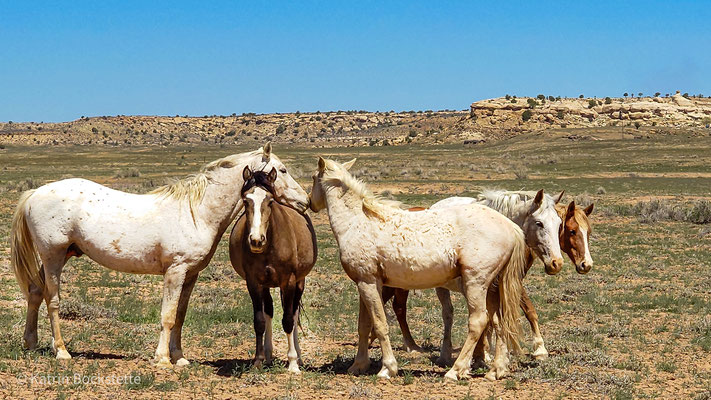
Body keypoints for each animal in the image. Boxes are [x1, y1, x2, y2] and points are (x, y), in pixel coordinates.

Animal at [8, 143, 308, 366]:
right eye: (282, 169)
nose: (305, 201)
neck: (197, 212)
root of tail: (35, 192)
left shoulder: (190, 274)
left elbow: (180, 315)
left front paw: (180, 357)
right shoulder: (174, 272)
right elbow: (167, 315)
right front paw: (162, 359)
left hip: (60, 256)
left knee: (35, 292)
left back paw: (31, 343)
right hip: (53, 256)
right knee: (52, 300)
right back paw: (61, 351)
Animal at [229, 167, 318, 374]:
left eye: (270, 201)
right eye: (245, 200)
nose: (256, 240)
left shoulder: (289, 281)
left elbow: (288, 320)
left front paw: (293, 363)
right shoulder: (253, 282)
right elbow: (260, 320)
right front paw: (258, 359)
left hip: (299, 282)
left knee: (293, 313)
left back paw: (298, 356)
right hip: (266, 285)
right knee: (269, 310)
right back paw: (268, 354)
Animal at [310, 156, 536, 382]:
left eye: (313, 177)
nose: (310, 203)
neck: (358, 222)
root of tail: (510, 226)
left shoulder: (368, 283)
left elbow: (380, 324)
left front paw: (387, 368)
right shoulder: (365, 284)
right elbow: (364, 325)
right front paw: (358, 365)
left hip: (476, 284)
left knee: (479, 322)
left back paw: (456, 371)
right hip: (492, 288)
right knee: (499, 321)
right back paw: (496, 370)